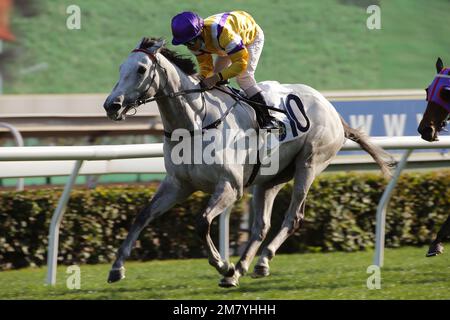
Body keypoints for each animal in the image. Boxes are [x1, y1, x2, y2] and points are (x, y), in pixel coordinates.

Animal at [103, 37, 392, 288]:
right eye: (120, 68)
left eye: (141, 69)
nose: (111, 105)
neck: (196, 122)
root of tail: (331, 108)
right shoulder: (178, 184)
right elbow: (142, 216)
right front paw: (117, 268)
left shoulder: (230, 187)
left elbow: (202, 221)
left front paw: (222, 263)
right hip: (270, 179)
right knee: (261, 226)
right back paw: (241, 269)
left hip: (309, 164)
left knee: (293, 217)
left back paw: (256, 263)